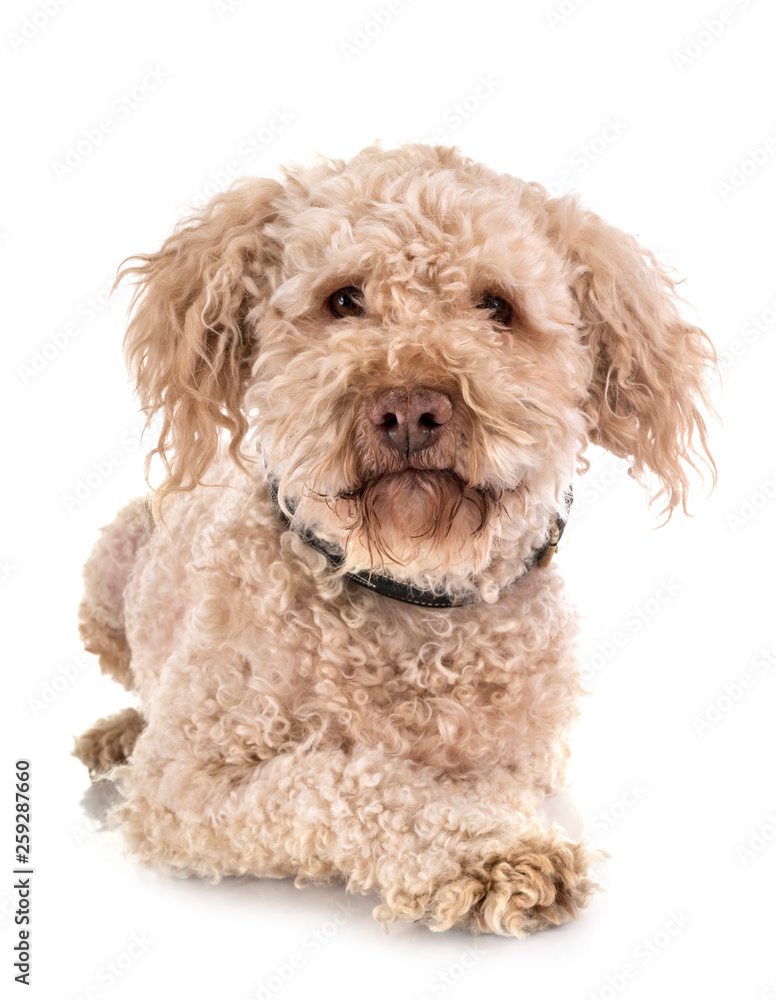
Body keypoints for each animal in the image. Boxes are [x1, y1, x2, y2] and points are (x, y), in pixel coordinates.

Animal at [73, 145, 716, 932]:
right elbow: (339, 781)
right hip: (108, 568)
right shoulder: (184, 783)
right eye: (344, 300)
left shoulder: (517, 761)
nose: (409, 408)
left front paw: (491, 831)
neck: (409, 589)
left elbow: (451, 783)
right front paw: (491, 854)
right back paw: (118, 732)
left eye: (496, 307)